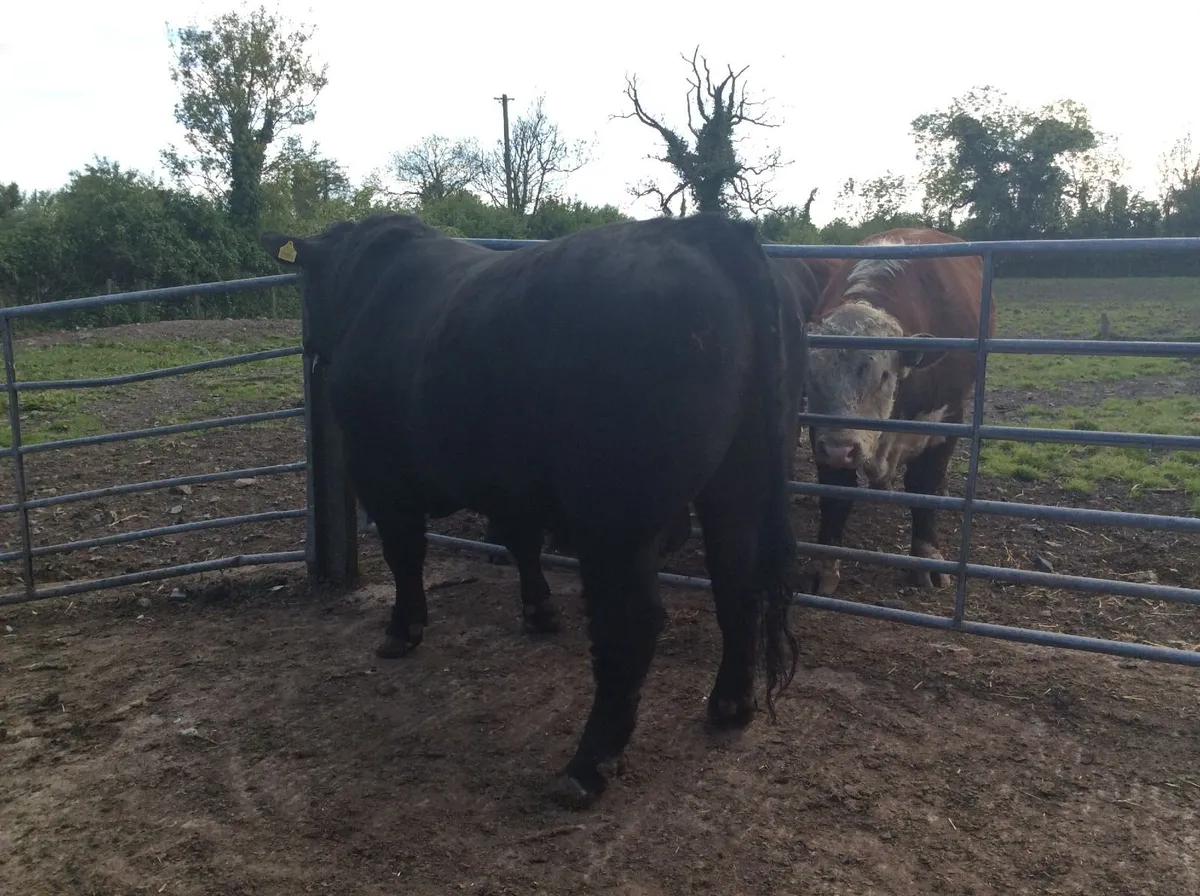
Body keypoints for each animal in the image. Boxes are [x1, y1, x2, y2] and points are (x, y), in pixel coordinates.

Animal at [262, 211, 807, 807]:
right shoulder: (511, 485)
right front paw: (538, 611)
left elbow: (405, 555)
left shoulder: (380, 474)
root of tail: (702, 231)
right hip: (739, 479)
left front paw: (402, 630)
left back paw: (587, 766)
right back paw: (730, 705)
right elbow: (519, 543)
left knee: (632, 621)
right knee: (737, 584)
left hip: (616, 513)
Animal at [801, 227, 993, 597]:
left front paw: (927, 558)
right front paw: (823, 566)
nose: (841, 449)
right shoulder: (822, 431)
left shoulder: (946, 420)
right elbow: (835, 494)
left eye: (884, 375)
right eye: (812, 376)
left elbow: (923, 486)